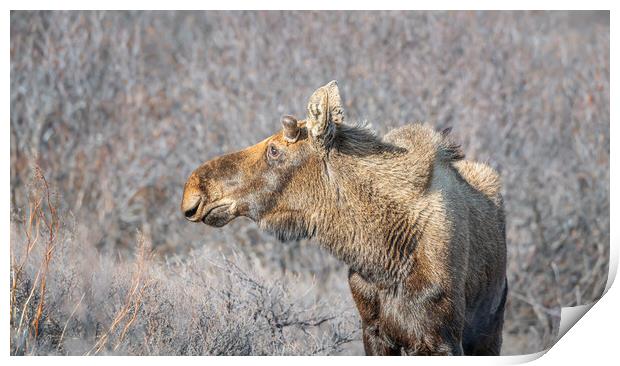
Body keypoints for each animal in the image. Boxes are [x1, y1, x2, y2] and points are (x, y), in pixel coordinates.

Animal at [180, 81, 508, 354]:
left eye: (274, 150)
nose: (193, 191)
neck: (380, 256)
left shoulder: (440, 339)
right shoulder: (373, 332)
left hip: (489, 332)